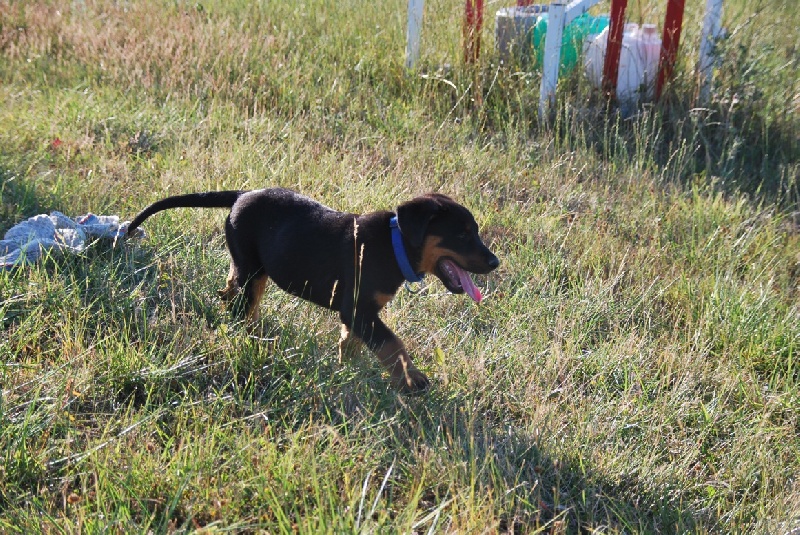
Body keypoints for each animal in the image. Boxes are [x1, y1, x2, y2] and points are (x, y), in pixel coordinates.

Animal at [127, 188, 499, 392]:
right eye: (462, 234)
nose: (495, 262)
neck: (394, 246)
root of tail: (242, 195)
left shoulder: (358, 313)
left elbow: (352, 342)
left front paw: (347, 367)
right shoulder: (358, 309)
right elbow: (392, 343)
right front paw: (413, 380)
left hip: (254, 268)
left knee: (235, 290)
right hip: (252, 266)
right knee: (243, 304)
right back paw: (244, 334)